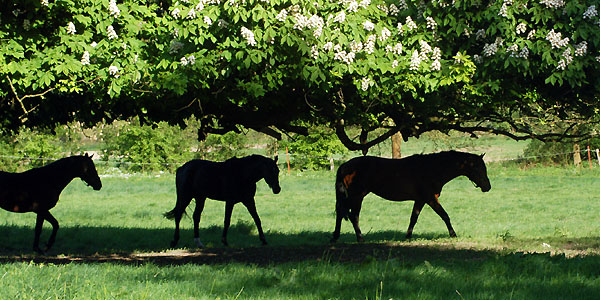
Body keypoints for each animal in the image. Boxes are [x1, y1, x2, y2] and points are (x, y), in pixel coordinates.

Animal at [330, 151, 490, 243]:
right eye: (478, 168)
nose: (488, 187)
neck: (432, 168)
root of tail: (345, 166)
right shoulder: (430, 198)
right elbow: (445, 215)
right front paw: (453, 235)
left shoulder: (420, 200)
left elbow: (413, 218)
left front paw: (407, 237)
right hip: (356, 197)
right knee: (352, 216)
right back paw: (359, 238)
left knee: (342, 213)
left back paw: (336, 236)